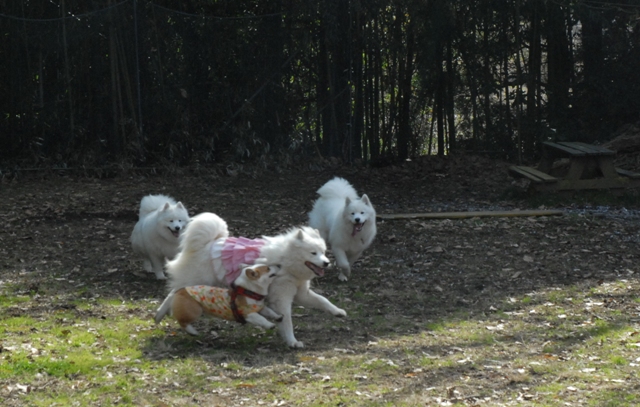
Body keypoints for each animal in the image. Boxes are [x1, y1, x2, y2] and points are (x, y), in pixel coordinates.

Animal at [154, 264, 282, 334]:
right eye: (268, 268)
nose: (279, 265)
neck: (249, 292)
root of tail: (180, 290)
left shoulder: (261, 308)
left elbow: (270, 312)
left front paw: (278, 317)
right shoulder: (249, 314)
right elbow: (262, 319)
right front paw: (270, 325)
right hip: (195, 311)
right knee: (182, 322)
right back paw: (193, 332)